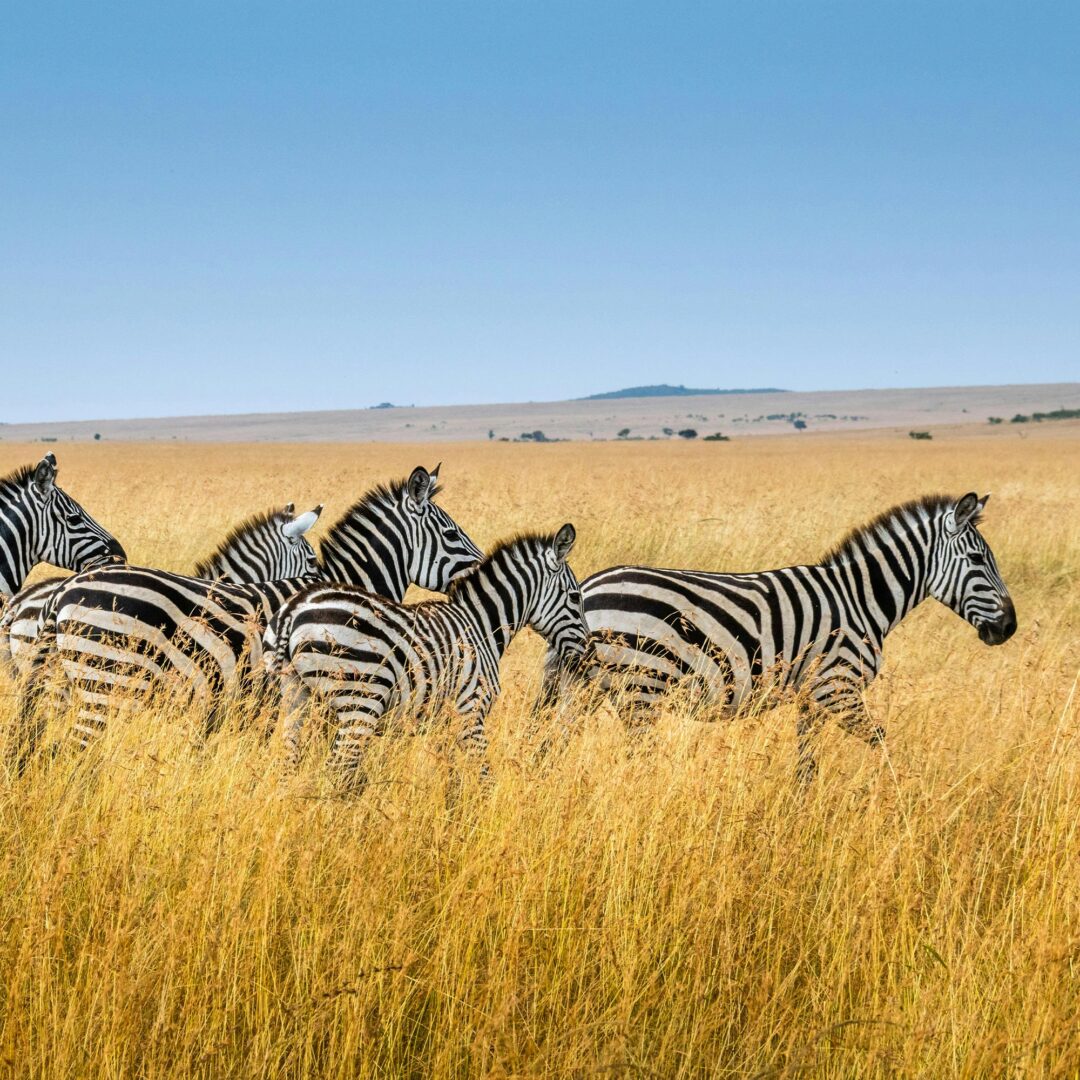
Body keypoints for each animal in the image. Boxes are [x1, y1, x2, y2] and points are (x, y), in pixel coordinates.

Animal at [263, 524, 587, 789]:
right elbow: (483, 776)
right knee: (336, 770)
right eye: (575, 597)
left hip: (295, 696)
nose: (586, 653)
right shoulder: (471, 711)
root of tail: (294, 609)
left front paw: (452, 815)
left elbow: (452, 777)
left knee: (289, 765)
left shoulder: (444, 720)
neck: (481, 625)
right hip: (360, 702)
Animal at [542, 493, 1016, 780]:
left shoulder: (812, 696)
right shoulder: (837, 688)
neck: (861, 599)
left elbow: (806, 764)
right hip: (642, 688)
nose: (1008, 628)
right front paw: (897, 799)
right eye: (978, 559)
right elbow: (882, 742)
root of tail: (587, 588)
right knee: (631, 760)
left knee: (550, 747)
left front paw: (800, 815)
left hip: (583, 689)